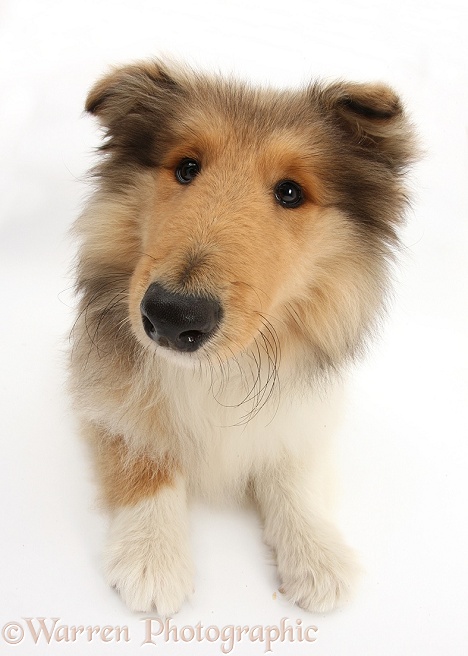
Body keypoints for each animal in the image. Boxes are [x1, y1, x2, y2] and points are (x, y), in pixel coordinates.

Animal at [68, 60, 414, 616]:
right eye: (186, 168)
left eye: (290, 192)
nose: (172, 315)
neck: (220, 371)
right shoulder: (106, 403)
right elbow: (142, 454)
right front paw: (152, 556)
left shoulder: (302, 415)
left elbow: (293, 471)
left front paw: (318, 555)